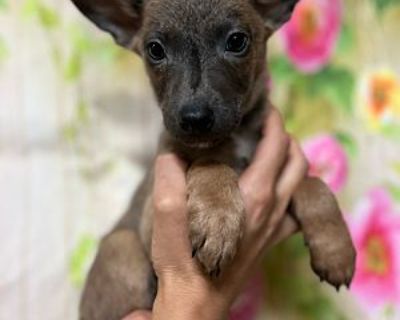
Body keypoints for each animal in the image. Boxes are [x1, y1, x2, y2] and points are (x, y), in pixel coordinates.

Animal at [70, 1, 358, 318]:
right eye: (155, 49)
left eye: (236, 41)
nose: (194, 118)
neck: (235, 138)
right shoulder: (150, 216)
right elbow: (211, 165)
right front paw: (217, 220)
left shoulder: (285, 173)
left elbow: (317, 187)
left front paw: (336, 250)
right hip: (120, 246)